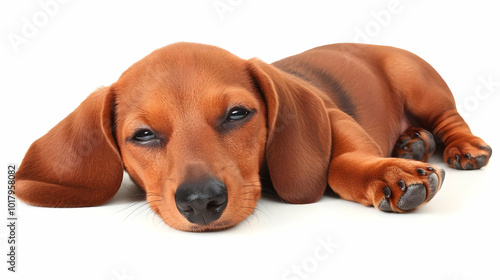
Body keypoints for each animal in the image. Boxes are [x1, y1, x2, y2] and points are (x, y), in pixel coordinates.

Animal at [15, 42, 492, 232]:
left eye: (237, 114)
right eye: (144, 135)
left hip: (419, 83)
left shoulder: (333, 117)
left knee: (450, 119)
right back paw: (411, 140)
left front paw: (389, 173)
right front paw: (393, 165)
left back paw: (461, 147)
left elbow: (341, 162)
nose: (200, 202)